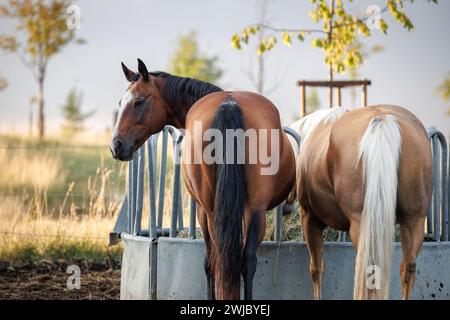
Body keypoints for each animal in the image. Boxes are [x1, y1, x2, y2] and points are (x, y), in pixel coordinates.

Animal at [109, 58, 296, 300]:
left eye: (139, 101)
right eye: (121, 102)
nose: (116, 145)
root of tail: (229, 105)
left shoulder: (201, 211)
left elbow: (209, 263)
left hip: (211, 212)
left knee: (220, 260)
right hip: (250, 210)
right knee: (244, 262)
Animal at [294, 106, 434, 298]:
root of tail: (383, 120)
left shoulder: (309, 219)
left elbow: (316, 269)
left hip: (361, 223)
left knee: (367, 270)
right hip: (414, 222)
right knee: (407, 268)